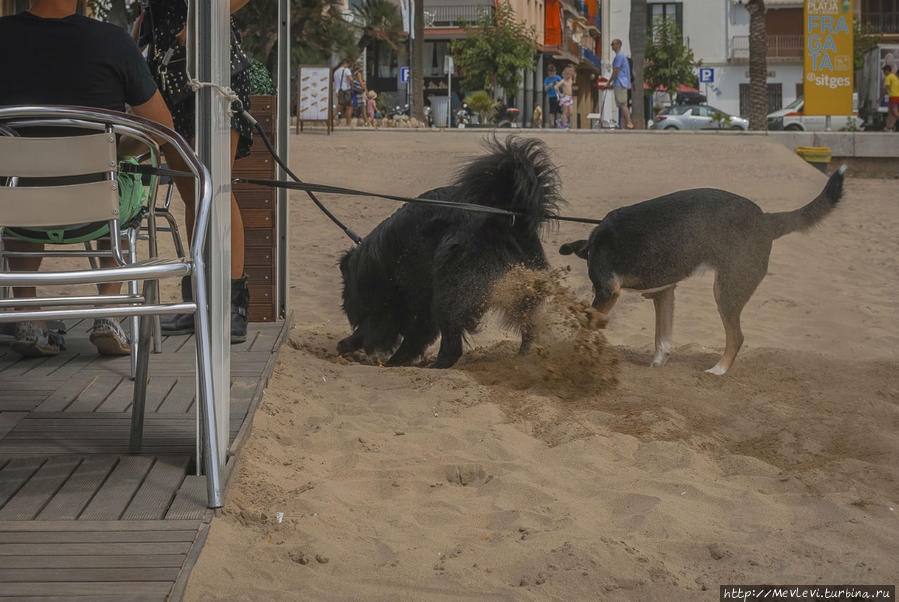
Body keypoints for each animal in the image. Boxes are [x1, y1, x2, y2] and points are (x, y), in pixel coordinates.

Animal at [338, 137, 564, 368]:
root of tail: (505, 219)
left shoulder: (398, 301)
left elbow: (390, 328)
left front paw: (355, 346)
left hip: (451, 285)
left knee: (452, 337)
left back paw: (437, 364)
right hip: (523, 286)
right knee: (528, 326)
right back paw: (522, 357)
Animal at [560, 168, 848, 376]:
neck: (593, 243)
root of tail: (765, 219)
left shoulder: (608, 291)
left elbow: (584, 326)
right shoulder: (664, 292)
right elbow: (662, 339)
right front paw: (656, 367)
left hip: (727, 290)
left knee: (737, 337)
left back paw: (718, 370)